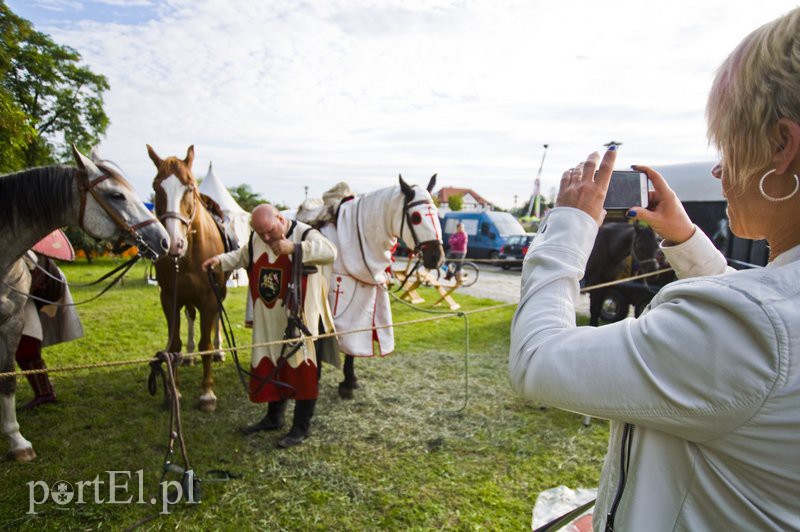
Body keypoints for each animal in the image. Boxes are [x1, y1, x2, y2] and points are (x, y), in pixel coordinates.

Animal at [147, 144, 230, 412]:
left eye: (190, 187)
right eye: (156, 186)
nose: (173, 243)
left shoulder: (209, 296)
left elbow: (206, 343)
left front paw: (207, 393)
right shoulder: (169, 298)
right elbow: (173, 345)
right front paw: (174, 392)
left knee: (215, 321)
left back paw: (219, 351)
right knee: (191, 317)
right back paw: (190, 356)